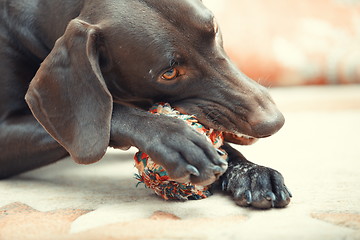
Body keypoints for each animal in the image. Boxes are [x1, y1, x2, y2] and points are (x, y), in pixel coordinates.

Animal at [0, 0, 288, 208]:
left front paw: (250, 171)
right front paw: (175, 139)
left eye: (215, 30)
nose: (274, 121)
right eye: (169, 73)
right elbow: (107, 116)